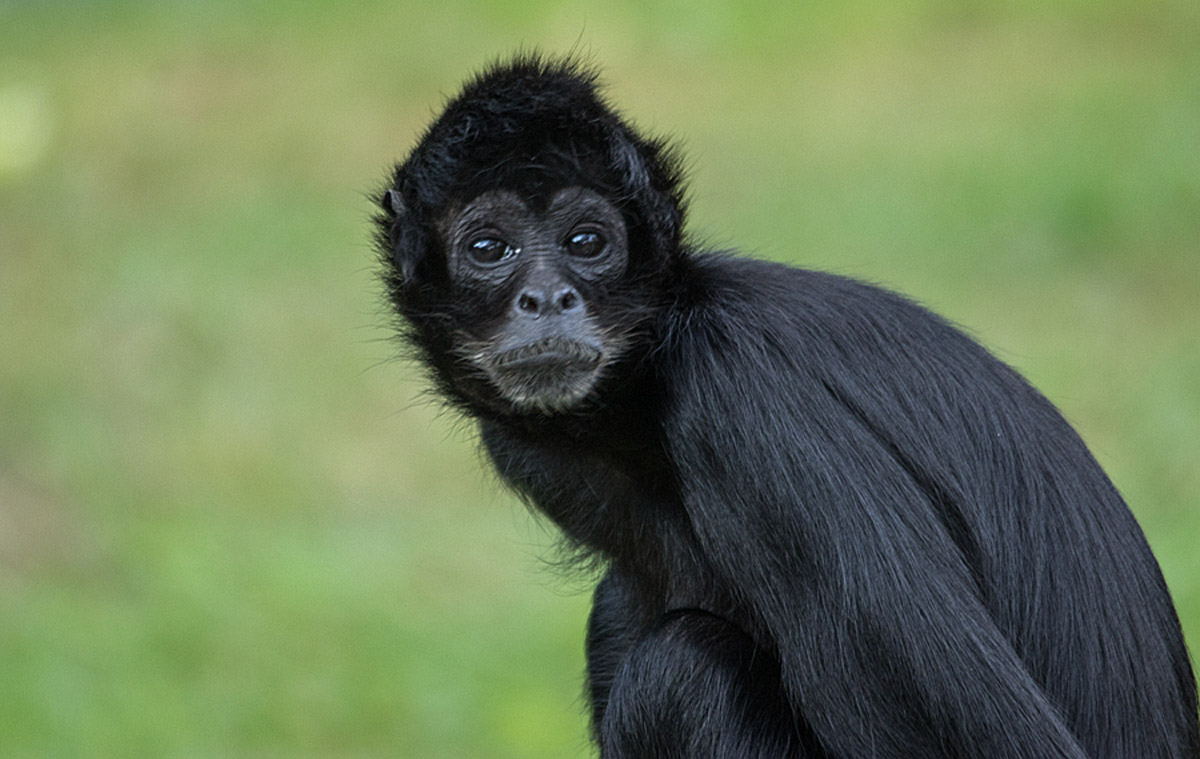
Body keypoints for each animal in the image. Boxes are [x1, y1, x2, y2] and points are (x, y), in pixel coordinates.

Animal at [372, 56, 1190, 754]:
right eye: (489, 249)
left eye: (586, 241)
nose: (547, 297)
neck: (659, 367)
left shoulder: (742, 400)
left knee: (680, 670)